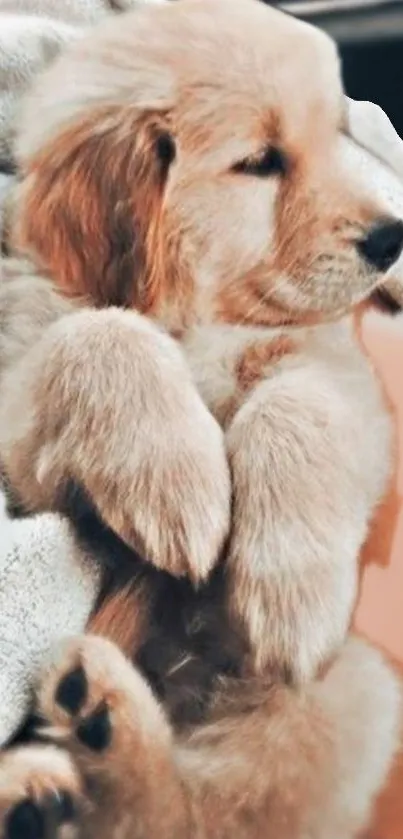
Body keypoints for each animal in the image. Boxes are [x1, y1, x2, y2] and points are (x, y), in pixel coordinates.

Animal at [0, 3, 402, 836]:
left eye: (334, 136)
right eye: (261, 162)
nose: (392, 237)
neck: (199, 316)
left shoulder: (336, 371)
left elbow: (298, 411)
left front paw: (292, 587)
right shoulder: (21, 431)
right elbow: (101, 332)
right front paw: (174, 481)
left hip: (348, 691)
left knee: (198, 809)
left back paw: (94, 730)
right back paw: (57, 758)